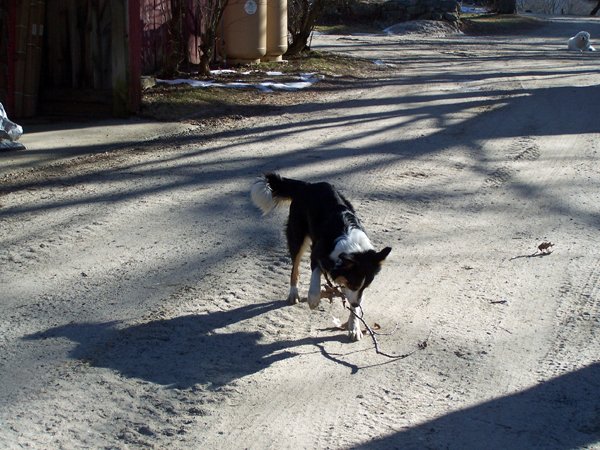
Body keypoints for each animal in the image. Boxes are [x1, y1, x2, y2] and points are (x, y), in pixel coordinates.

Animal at [251, 173, 392, 342]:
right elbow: (315, 276)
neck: (351, 245)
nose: (357, 305)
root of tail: (308, 185)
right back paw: (293, 293)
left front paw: (354, 327)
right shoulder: (317, 252)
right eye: (353, 284)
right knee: (295, 268)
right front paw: (313, 300)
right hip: (297, 236)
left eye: (365, 287)